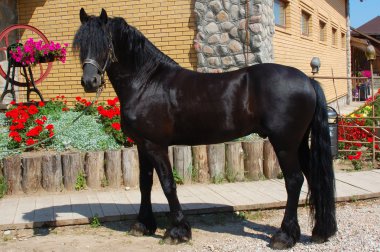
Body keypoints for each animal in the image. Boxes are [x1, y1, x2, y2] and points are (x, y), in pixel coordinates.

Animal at [72, 8, 336, 250]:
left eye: (105, 43)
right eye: (81, 45)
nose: (89, 82)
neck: (146, 82)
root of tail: (308, 80)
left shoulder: (156, 146)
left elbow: (167, 184)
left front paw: (177, 231)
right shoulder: (142, 145)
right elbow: (145, 183)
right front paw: (143, 225)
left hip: (284, 144)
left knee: (294, 180)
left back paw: (283, 236)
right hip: (299, 143)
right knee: (312, 177)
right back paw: (319, 231)